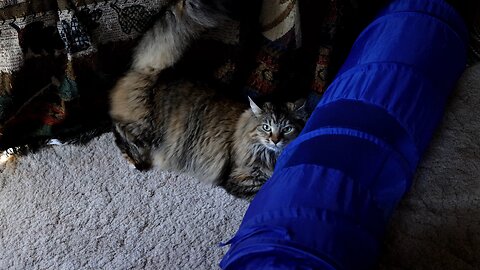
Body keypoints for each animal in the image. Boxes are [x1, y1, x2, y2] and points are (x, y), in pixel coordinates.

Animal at [109, 0, 308, 198]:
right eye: (266, 127)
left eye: (287, 129)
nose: (275, 140)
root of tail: (152, 71)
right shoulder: (243, 178)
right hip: (145, 130)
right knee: (119, 133)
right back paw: (134, 162)